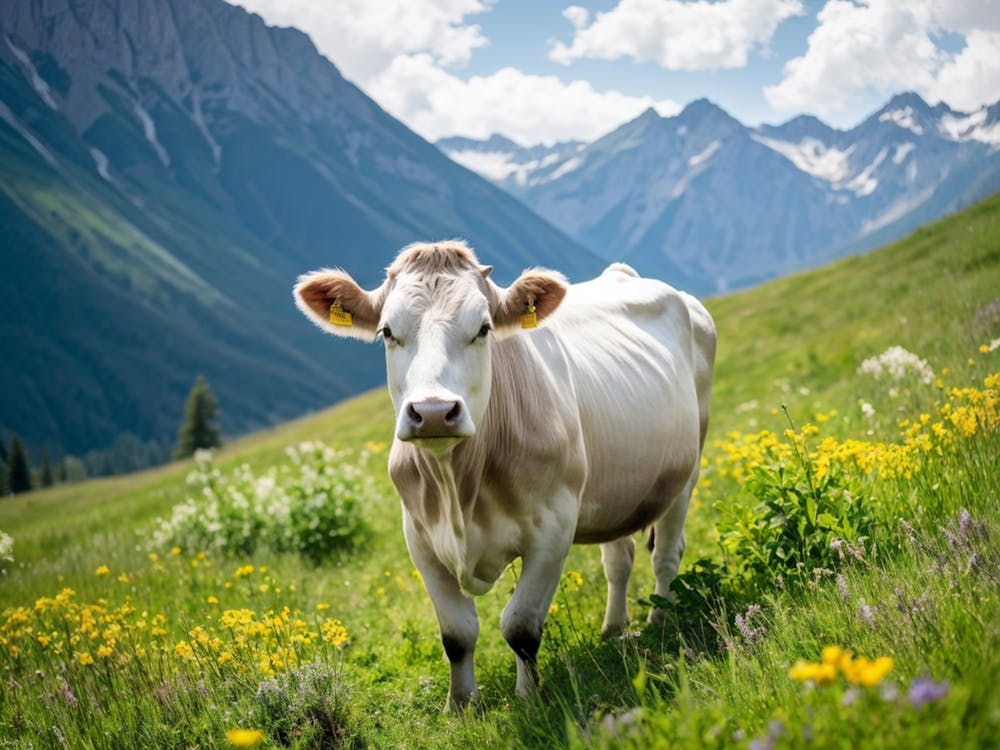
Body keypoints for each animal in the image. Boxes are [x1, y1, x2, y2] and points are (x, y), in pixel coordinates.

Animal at [294, 240, 715, 710]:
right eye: (387, 331)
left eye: (484, 328)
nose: (434, 412)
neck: (459, 489)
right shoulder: (420, 539)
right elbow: (456, 634)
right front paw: (460, 705)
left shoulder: (553, 529)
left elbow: (520, 627)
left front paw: (529, 699)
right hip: (615, 488)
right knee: (618, 559)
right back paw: (613, 628)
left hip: (686, 472)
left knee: (666, 555)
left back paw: (659, 619)